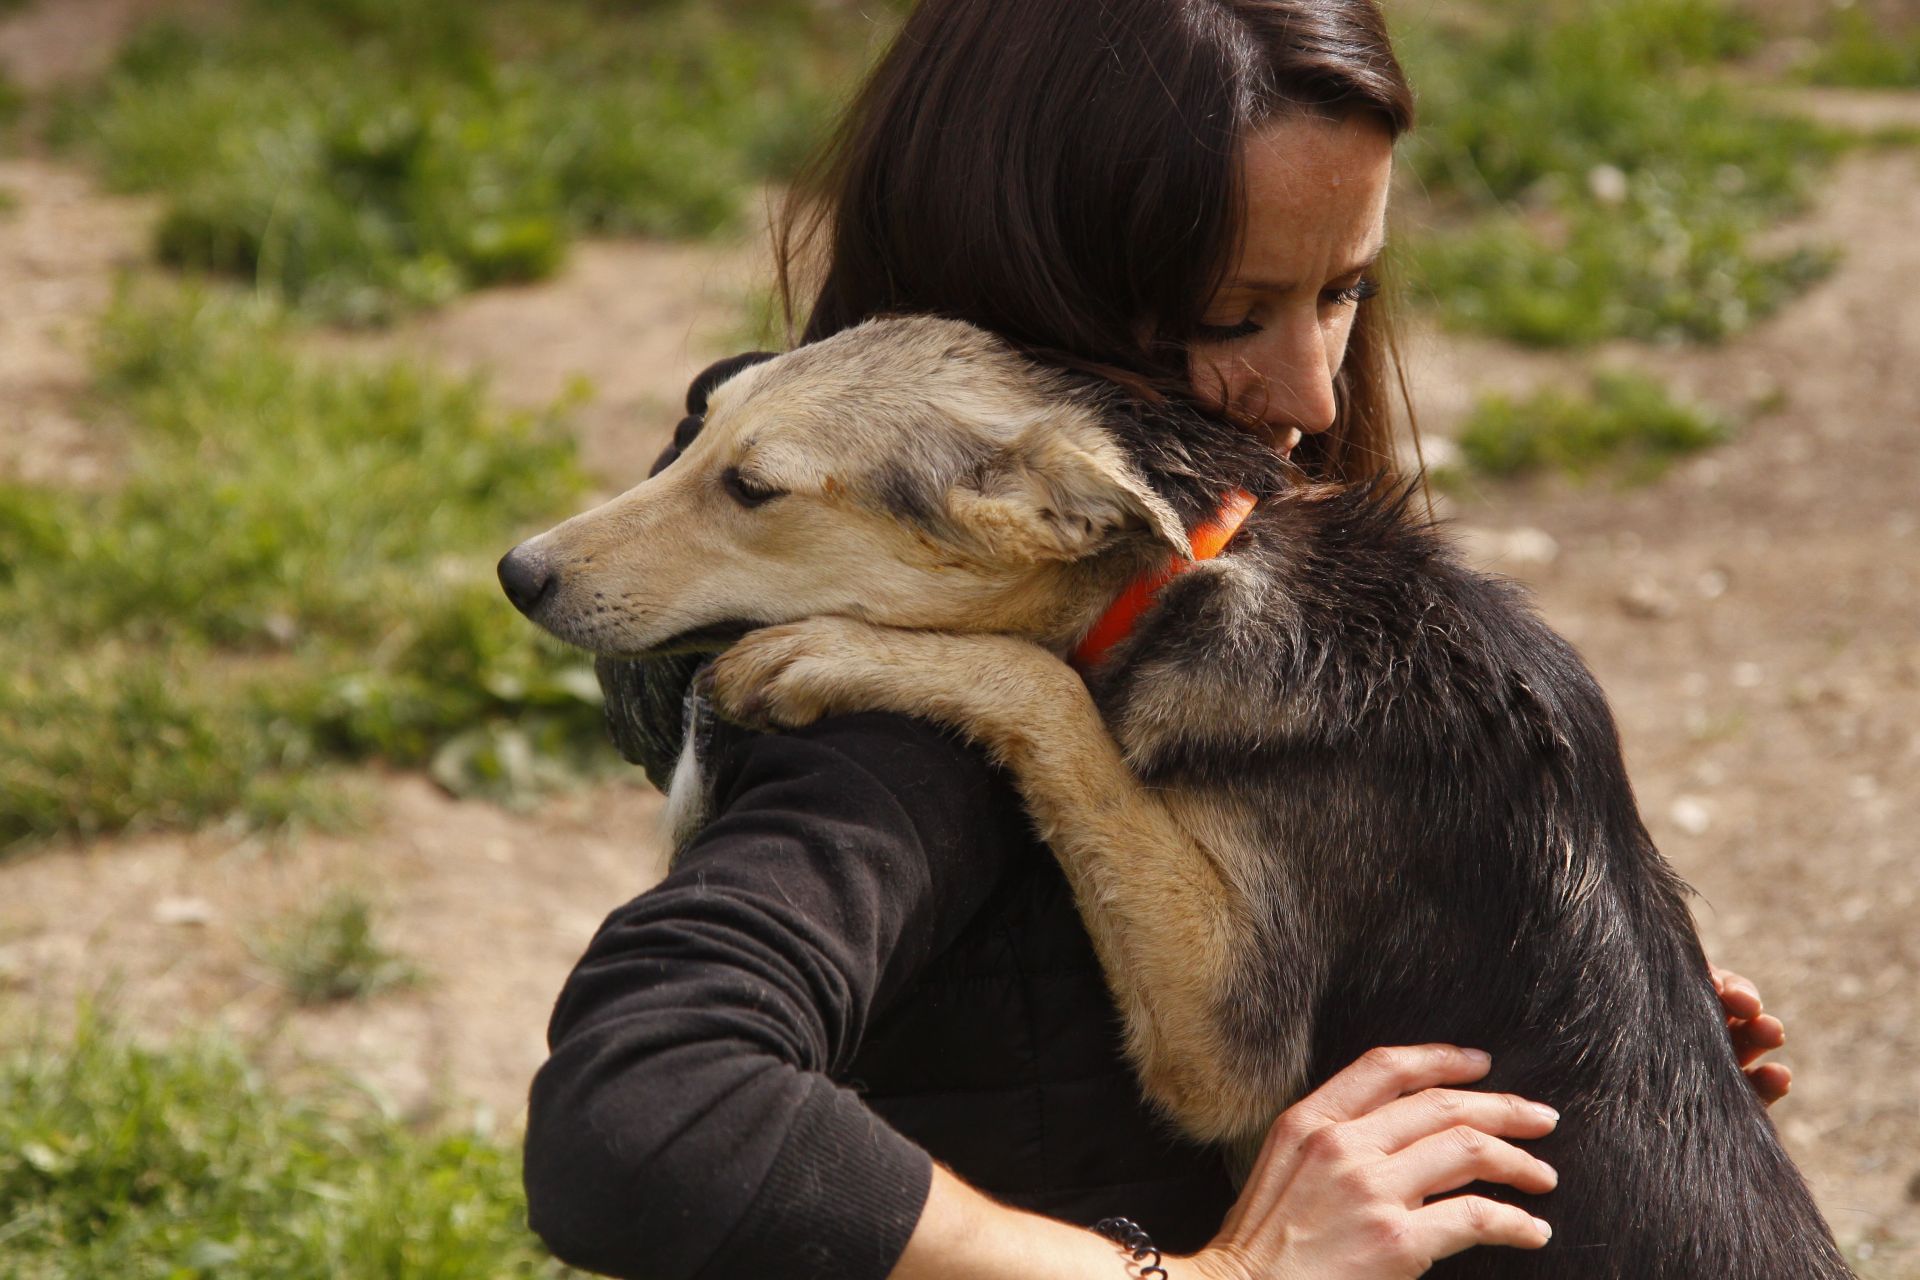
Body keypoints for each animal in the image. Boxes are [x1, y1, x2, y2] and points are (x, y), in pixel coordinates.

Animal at [503, 314, 1850, 1274]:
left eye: (753, 489)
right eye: (698, 430)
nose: (516, 569)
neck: (1194, 570)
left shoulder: (1228, 1034)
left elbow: (1046, 691)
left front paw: (823, 653)